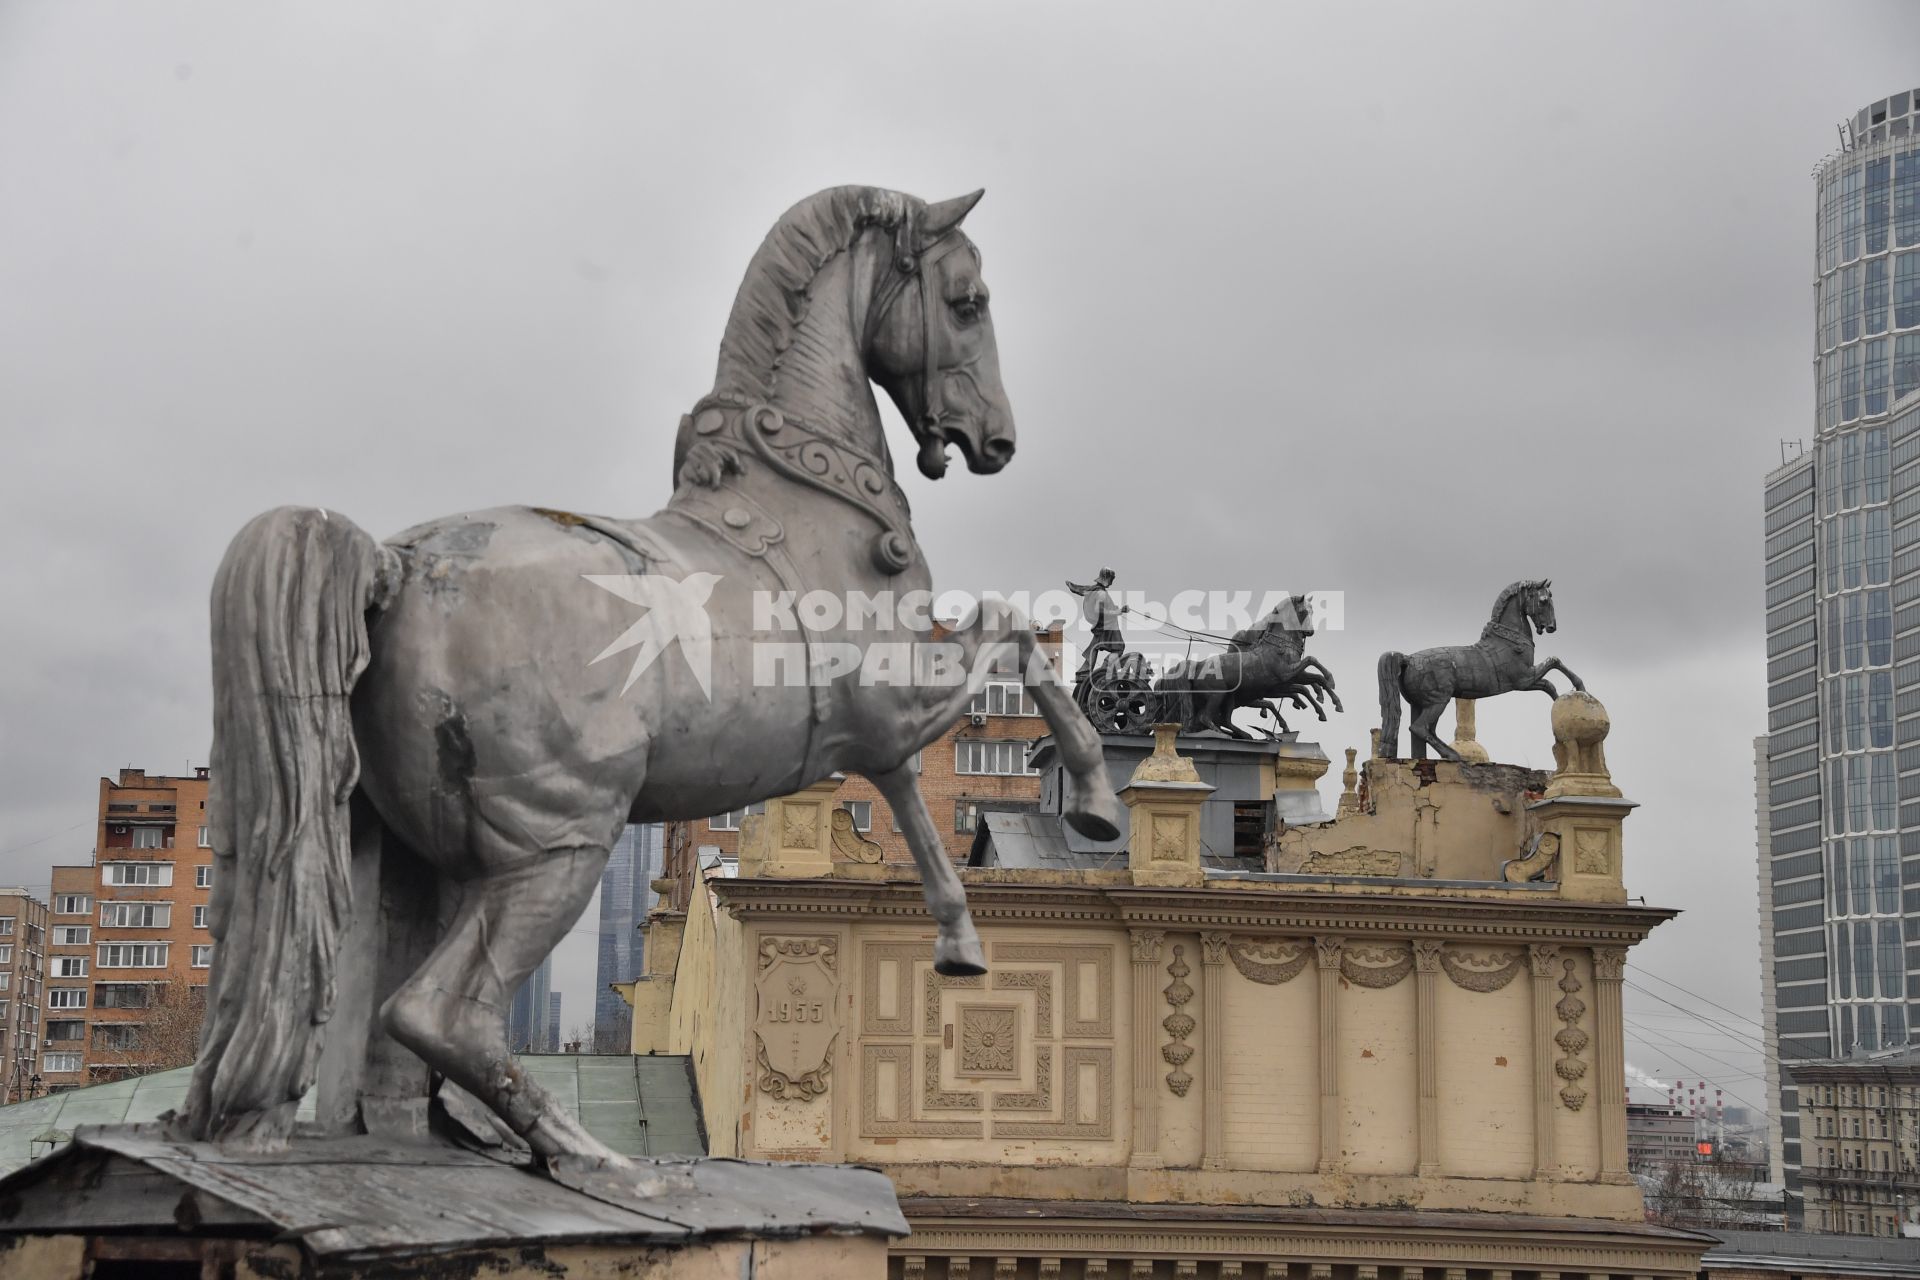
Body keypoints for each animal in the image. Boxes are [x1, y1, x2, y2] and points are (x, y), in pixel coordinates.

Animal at [183, 185, 1121, 1166]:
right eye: (968, 302)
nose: (996, 441)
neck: (803, 496)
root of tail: (393, 565)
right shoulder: (897, 700)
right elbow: (1013, 635)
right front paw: (1097, 804)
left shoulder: (876, 729)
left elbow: (908, 792)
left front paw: (961, 938)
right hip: (560, 843)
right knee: (442, 1014)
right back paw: (594, 1159)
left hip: (407, 861)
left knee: (380, 1043)